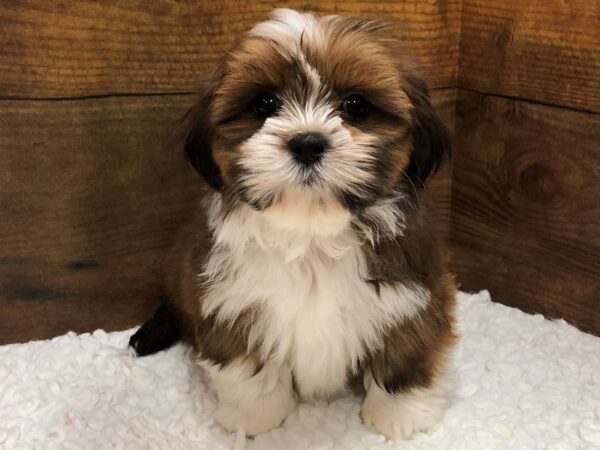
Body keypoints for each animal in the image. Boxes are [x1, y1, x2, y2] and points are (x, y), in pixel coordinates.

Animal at [131, 7, 458, 440]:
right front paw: (255, 417)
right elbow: (249, 370)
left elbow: (405, 356)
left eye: (356, 105)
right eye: (264, 103)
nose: (307, 142)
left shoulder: (414, 298)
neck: (312, 233)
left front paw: (399, 416)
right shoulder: (233, 302)